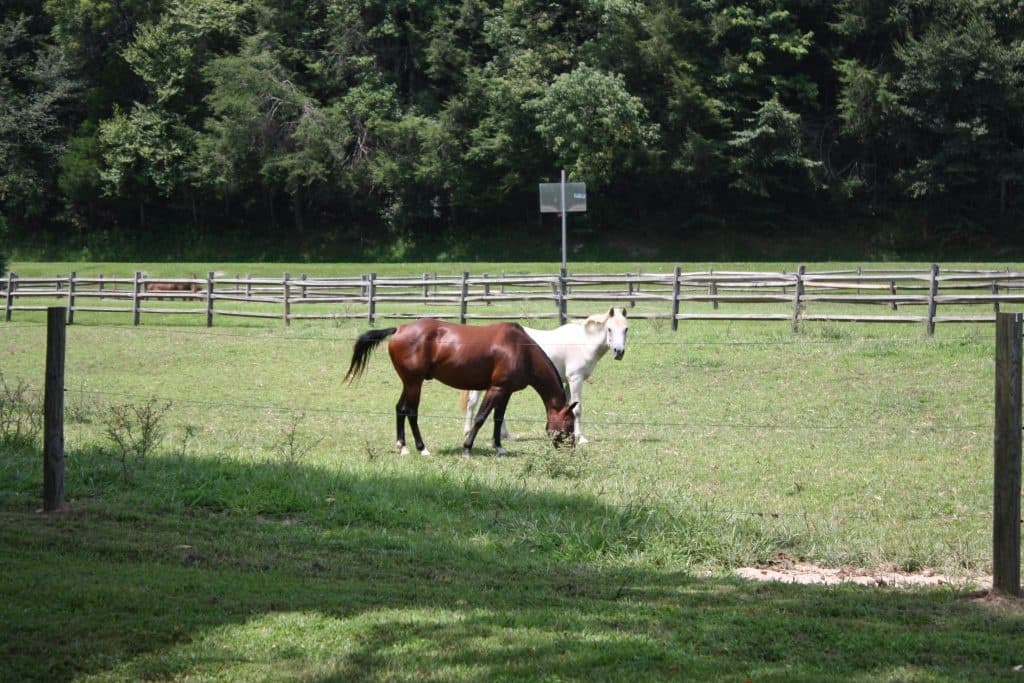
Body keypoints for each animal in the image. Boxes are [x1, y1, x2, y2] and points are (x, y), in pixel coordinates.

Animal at [344, 318, 577, 457]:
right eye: (569, 424)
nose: (570, 449)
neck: (520, 349)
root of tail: (399, 329)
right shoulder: (496, 389)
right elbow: (481, 418)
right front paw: (467, 448)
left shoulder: (506, 391)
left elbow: (497, 418)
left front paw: (499, 447)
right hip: (414, 383)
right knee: (411, 412)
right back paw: (422, 448)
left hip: (408, 382)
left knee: (400, 409)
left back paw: (403, 446)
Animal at [460, 307, 628, 444]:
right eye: (609, 329)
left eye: (626, 329)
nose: (619, 352)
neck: (583, 342)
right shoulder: (575, 379)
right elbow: (577, 409)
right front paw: (581, 438)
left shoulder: (566, 382)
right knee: (474, 403)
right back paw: (471, 431)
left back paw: (504, 435)